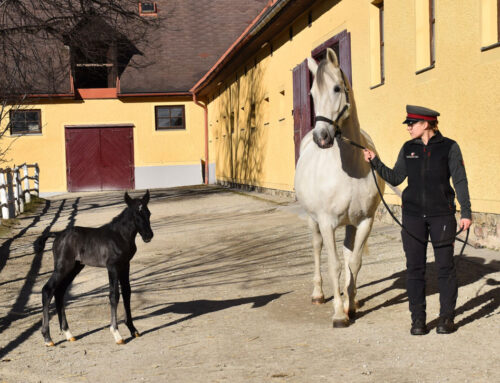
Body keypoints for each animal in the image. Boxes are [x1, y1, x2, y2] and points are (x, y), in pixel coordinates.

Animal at [39, 190, 153, 346]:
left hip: (75, 267)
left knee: (60, 292)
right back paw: (48, 338)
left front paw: (133, 329)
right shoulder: (112, 267)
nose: (148, 236)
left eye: (149, 213)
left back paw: (68, 333)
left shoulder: (125, 265)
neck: (119, 236)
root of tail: (58, 234)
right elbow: (114, 295)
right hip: (63, 267)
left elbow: (127, 293)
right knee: (47, 290)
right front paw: (117, 334)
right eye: (136, 215)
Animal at [294, 49, 384, 328]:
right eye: (312, 94)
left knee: (347, 254)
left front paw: (350, 306)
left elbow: (354, 262)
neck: (350, 168)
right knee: (316, 248)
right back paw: (318, 294)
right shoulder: (326, 222)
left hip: (350, 224)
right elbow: (333, 264)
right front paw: (338, 314)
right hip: (312, 221)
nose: (321, 137)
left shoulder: (364, 221)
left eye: (336, 88)